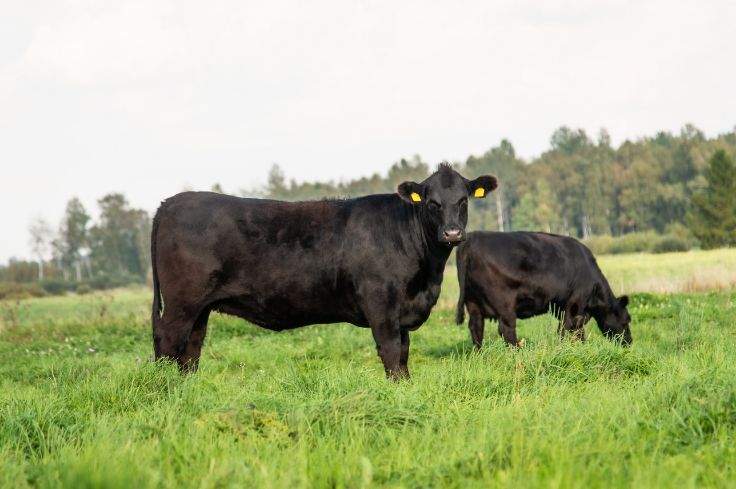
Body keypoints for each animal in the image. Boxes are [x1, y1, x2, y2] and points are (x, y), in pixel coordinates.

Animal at [151, 164, 497, 379]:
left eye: (463, 200)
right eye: (431, 202)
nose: (452, 233)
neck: (427, 277)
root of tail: (169, 202)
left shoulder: (402, 313)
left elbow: (404, 353)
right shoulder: (381, 307)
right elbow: (391, 353)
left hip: (200, 308)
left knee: (190, 349)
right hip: (182, 304)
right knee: (168, 342)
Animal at [455, 231, 632, 348]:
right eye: (626, 320)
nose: (629, 342)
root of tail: (471, 239)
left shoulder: (562, 308)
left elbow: (571, 330)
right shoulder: (575, 304)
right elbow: (569, 329)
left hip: (472, 302)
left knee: (476, 327)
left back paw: (479, 353)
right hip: (504, 304)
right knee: (506, 329)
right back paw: (516, 352)